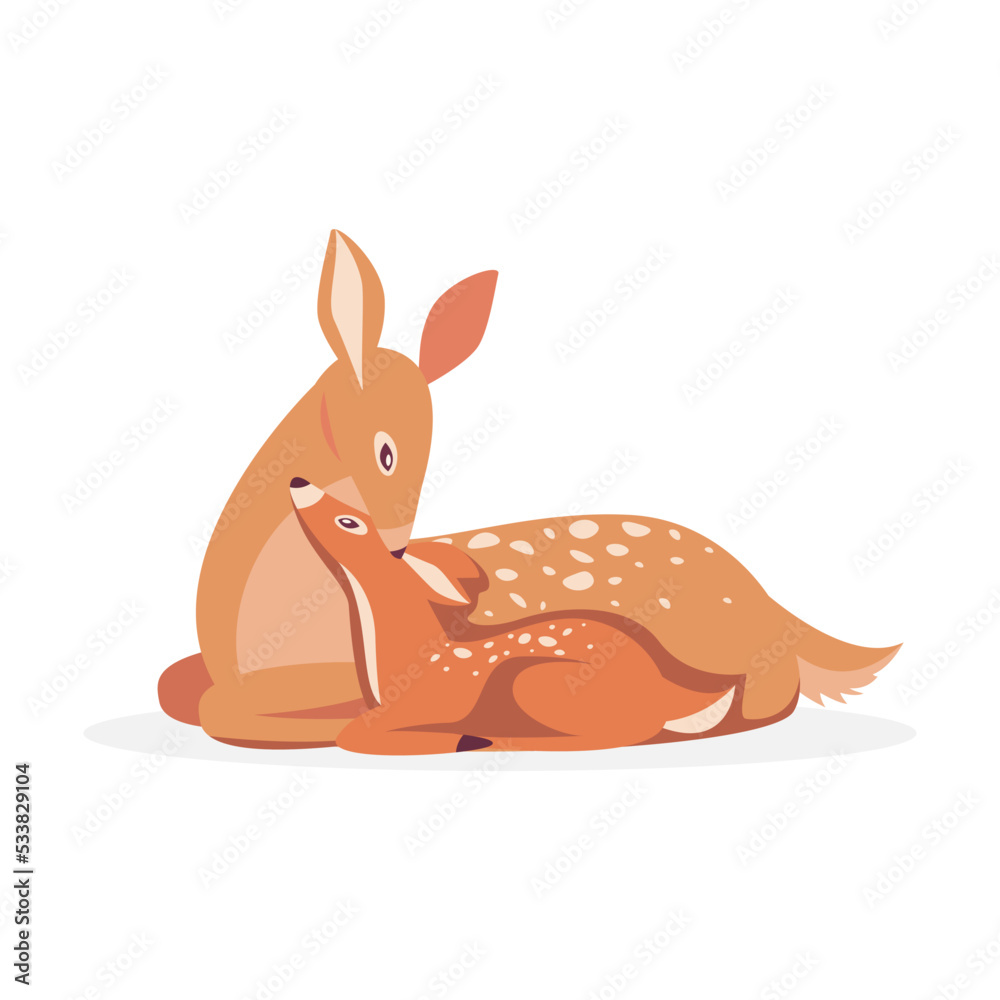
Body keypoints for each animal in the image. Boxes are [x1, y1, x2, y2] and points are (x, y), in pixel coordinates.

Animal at [289, 478, 739, 753]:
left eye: (349, 521)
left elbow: (351, 733)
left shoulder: (424, 705)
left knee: (627, 732)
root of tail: (668, 690)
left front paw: (463, 739)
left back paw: (513, 739)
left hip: (536, 680)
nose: (298, 482)